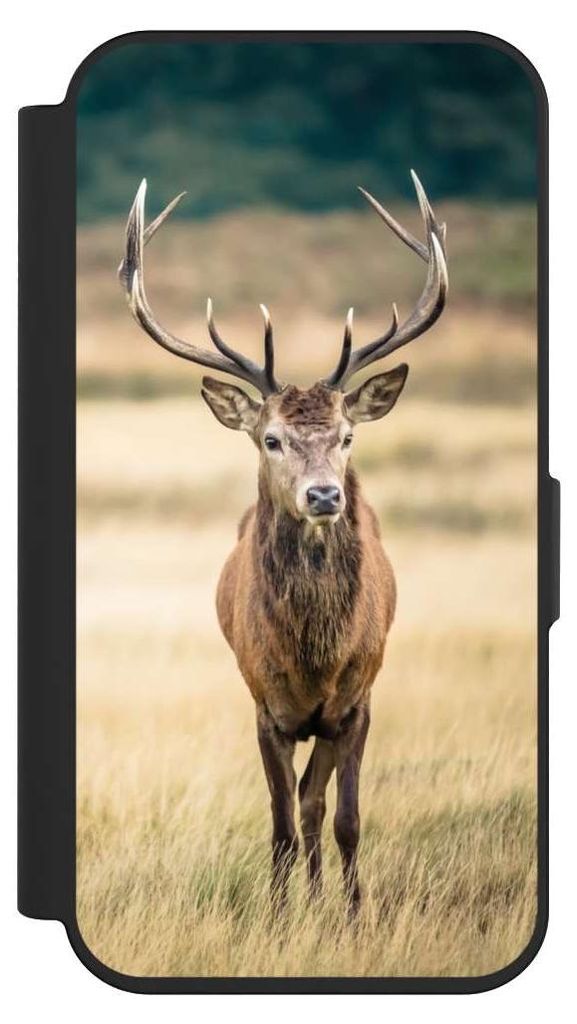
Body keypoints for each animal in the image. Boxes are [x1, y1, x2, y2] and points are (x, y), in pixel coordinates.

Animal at [119, 172, 448, 918]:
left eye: (348, 436)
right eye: (271, 439)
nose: (324, 495)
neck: (312, 659)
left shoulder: (356, 701)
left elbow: (344, 817)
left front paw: (353, 918)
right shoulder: (264, 706)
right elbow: (278, 824)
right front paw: (275, 917)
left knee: (315, 803)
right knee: (297, 808)